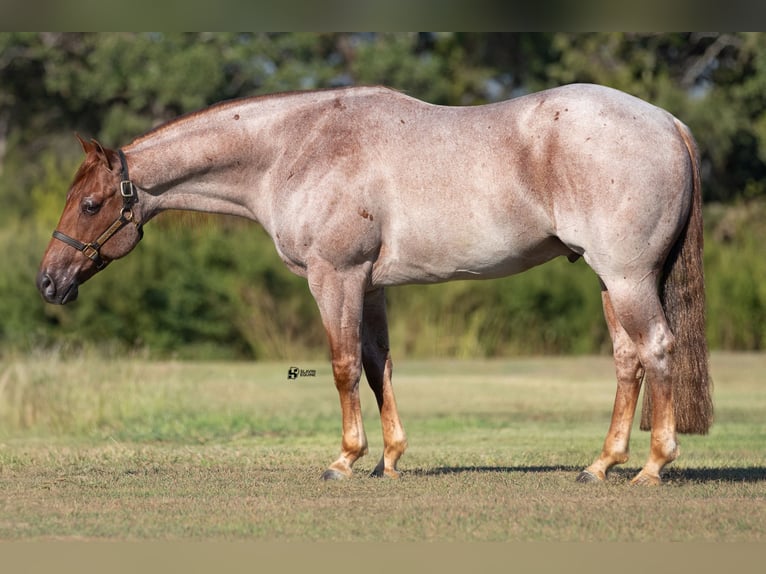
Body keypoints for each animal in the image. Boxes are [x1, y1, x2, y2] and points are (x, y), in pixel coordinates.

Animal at [39, 82, 716, 486]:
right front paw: (389, 459)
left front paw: (345, 459)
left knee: (656, 349)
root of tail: (668, 122)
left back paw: (653, 466)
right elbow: (376, 364)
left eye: (92, 204)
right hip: (609, 280)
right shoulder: (370, 287)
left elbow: (342, 365)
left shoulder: (333, 277)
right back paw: (599, 464)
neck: (296, 148)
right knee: (627, 360)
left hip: (626, 276)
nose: (49, 281)